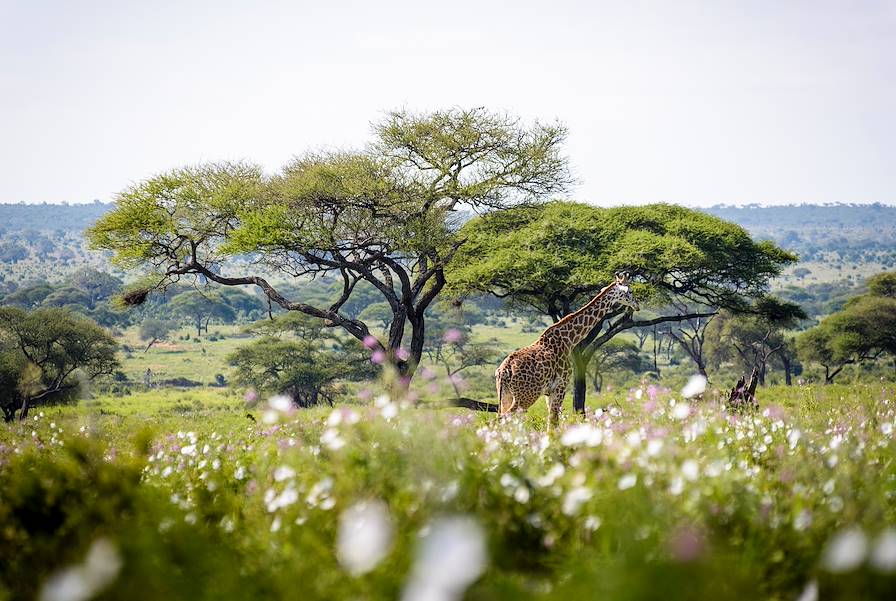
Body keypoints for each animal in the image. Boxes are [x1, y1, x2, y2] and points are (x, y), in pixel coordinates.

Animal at [496, 274, 636, 428]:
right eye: (630, 291)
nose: (637, 305)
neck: (568, 340)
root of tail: (504, 371)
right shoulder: (561, 386)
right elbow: (553, 422)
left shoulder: (549, 392)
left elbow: (551, 421)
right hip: (526, 396)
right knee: (503, 417)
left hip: (506, 395)